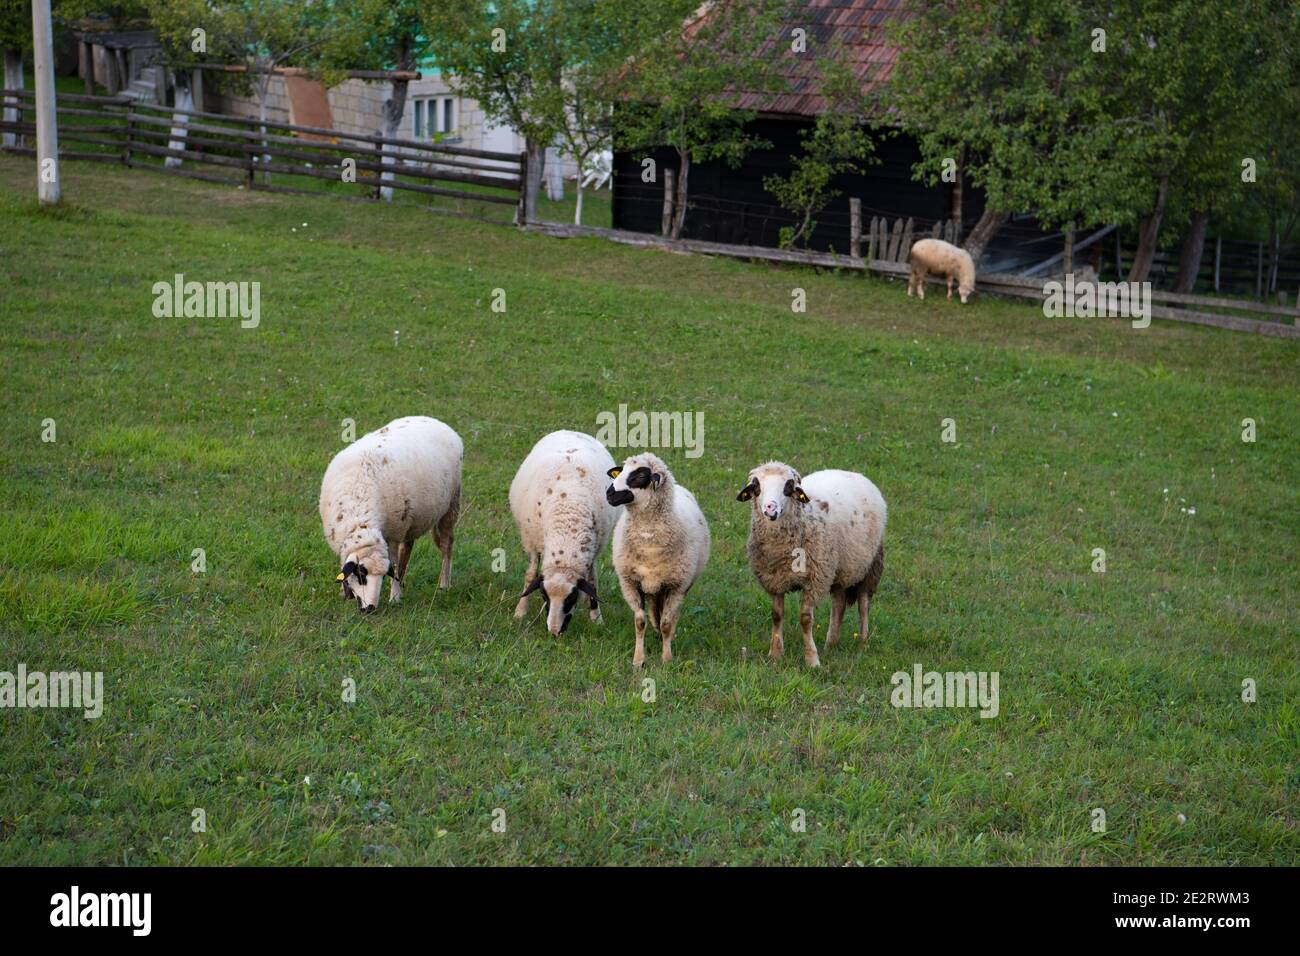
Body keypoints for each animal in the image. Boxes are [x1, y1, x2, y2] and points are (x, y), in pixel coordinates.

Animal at [318, 416, 462, 613]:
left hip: (450, 505)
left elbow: (394, 564)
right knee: (408, 547)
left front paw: (395, 597)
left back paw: (444, 584)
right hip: (411, 519)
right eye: (361, 575)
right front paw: (345, 593)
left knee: (447, 545)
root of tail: (436, 421)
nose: (370, 608)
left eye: (382, 576)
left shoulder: (393, 535)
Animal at [506, 429, 618, 632]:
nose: (554, 631)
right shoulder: (531, 541)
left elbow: (592, 581)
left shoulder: (594, 550)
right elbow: (530, 574)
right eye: (544, 595)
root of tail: (571, 431)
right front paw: (520, 612)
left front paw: (596, 618)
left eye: (571, 598)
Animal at [600, 452, 707, 671]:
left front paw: (666, 658)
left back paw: (668, 636)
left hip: (681, 585)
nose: (609, 493)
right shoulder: (631, 583)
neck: (648, 541)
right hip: (651, 587)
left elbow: (666, 623)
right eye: (621, 471)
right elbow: (640, 622)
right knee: (654, 611)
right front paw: (638, 660)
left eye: (641, 476)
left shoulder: (676, 585)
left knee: (672, 615)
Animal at [738, 463, 889, 665]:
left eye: (788, 486)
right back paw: (830, 644)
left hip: (870, 564)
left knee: (863, 603)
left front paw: (812, 659)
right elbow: (776, 615)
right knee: (839, 602)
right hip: (839, 568)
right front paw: (775, 654)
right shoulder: (775, 579)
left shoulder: (815, 580)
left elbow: (805, 619)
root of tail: (851, 473)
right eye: (756, 486)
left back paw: (863, 643)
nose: (770, 508)